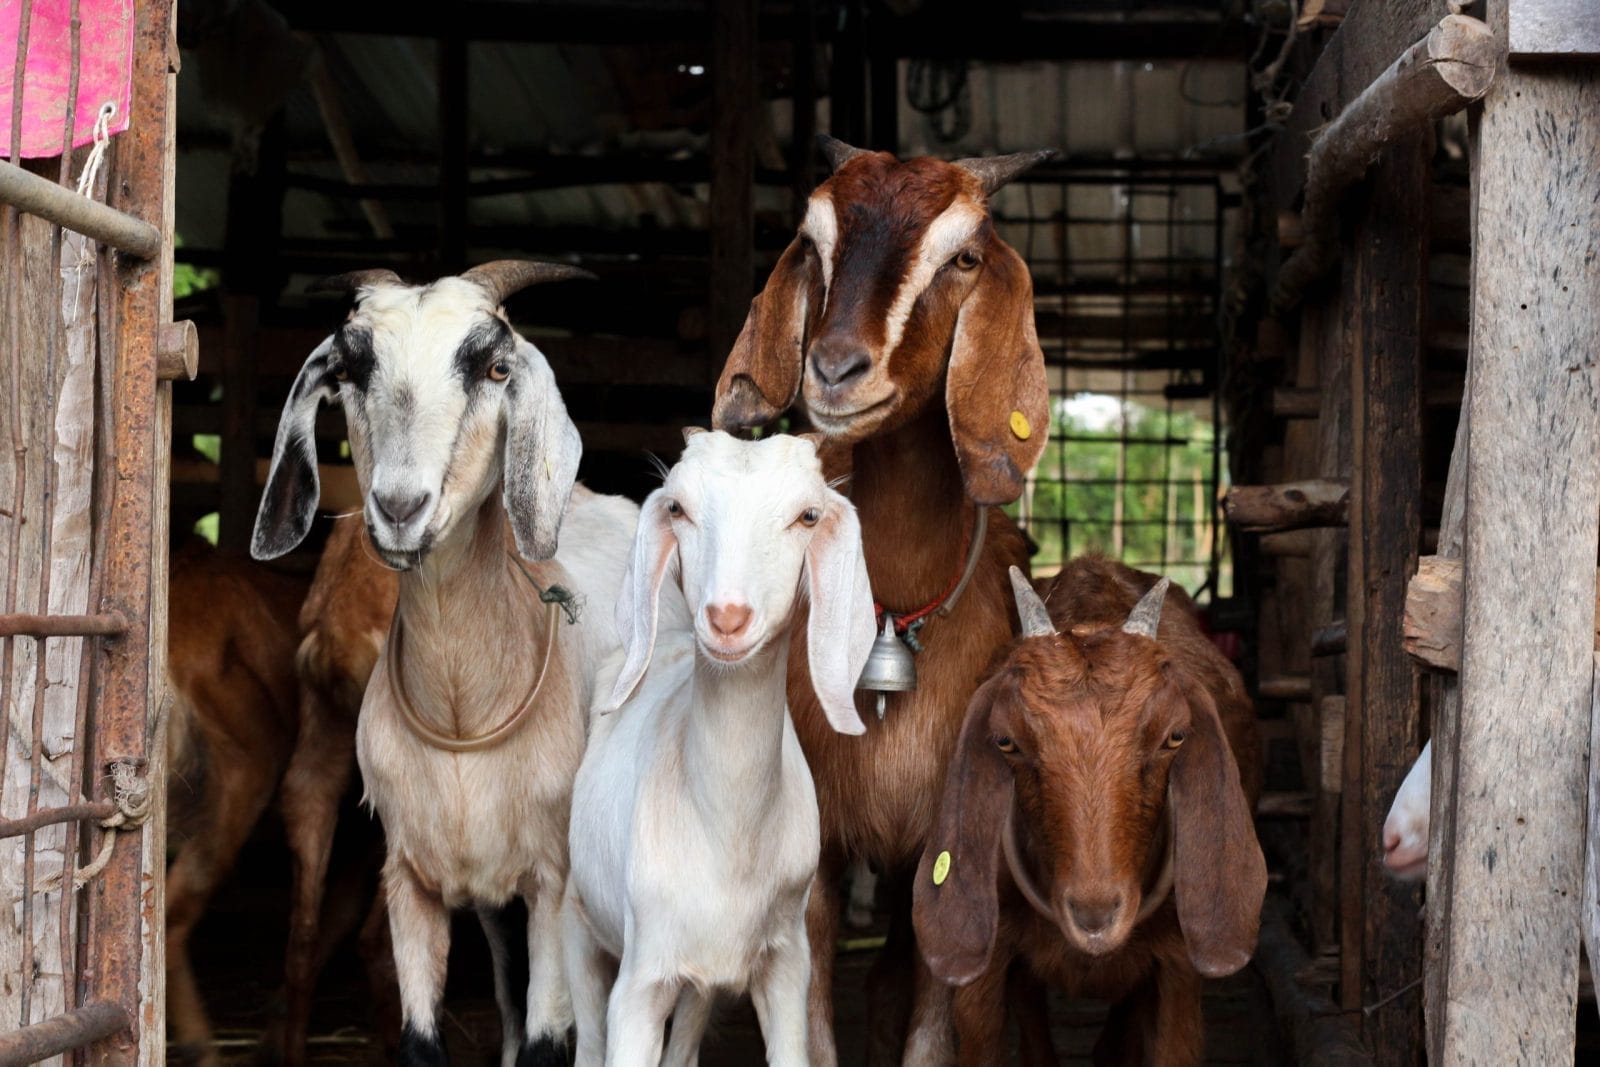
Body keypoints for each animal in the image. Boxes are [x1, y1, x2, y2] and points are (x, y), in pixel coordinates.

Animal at [251, 261, 637, 1067]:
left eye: (494, 367)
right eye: (350, 369)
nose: (400, 508)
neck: (464, 710)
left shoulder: (551, 883)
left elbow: (548, 1044)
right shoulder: (413, 879)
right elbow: (424, 1040)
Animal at [564, 429, 876, 1066]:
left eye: (807, 516)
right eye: (678, 508)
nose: (727, 618)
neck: (726, 837)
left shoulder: (786, 962)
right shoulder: (640, 979)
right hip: (577, 919)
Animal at [712, 136, 1053, 1062]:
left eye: (964, 256)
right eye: (812, 241)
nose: (834, 369)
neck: (896, 608)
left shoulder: (949, 843)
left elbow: (927, 1026)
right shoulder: (816, 845)